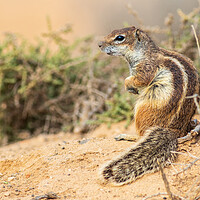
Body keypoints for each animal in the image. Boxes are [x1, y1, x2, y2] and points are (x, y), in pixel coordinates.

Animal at [97, 26, 199, 186]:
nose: (100, 45)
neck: (144, 52)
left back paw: (126, 136)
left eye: (120, 38)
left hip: (142, 109)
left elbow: (139, 79)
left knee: (141, 135)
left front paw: (128, 85)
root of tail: (173, 131)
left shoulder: (146, 68)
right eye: (112, 31)